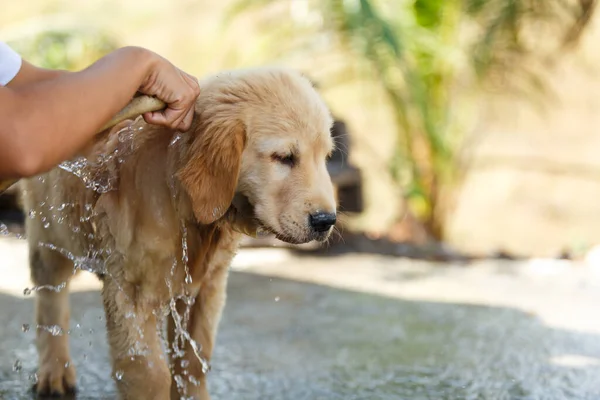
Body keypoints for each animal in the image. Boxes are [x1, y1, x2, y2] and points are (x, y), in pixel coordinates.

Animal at [21, 67, 340, 398]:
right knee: (50, 305)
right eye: (284, 157)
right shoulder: (130, 292)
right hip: (50, 238)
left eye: (325, 157)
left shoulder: (207, 285)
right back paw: (55, 373)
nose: (326, 220)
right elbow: (149, 374)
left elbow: (194, 361)